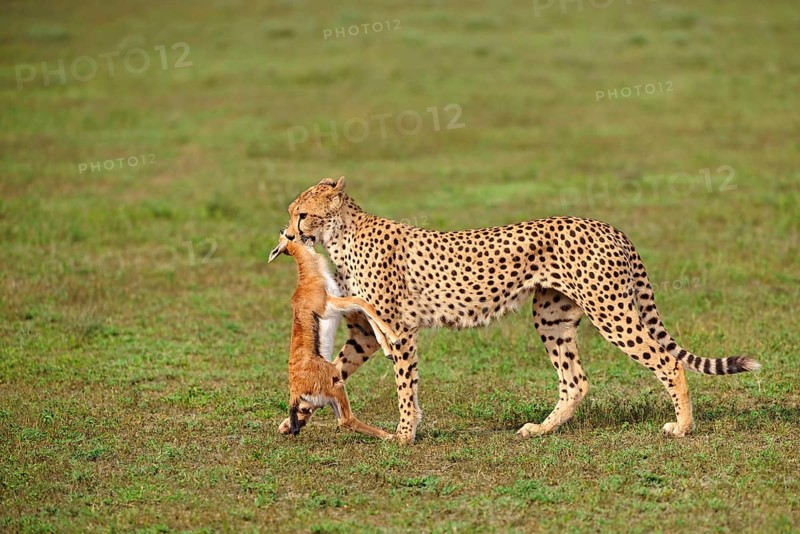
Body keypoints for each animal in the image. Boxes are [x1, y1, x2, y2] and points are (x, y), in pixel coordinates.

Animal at [276, 176, 760, 444]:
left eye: (302, 214)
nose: (288, 235)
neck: (342, 234)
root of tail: (608, 225)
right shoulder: (365, 332)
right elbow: (334, 371)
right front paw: (295, 416)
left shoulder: (398, 329)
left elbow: (404, 386)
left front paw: (404, 435)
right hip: (552, 315)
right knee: (575, 380)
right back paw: (540, 430)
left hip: (610, 310)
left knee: (666, 362)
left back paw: (682, 427)